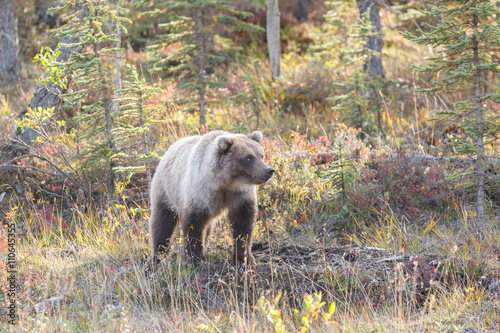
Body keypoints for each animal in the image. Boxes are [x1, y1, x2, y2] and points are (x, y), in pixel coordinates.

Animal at [149, 130, 274, 268]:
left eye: (261, 155)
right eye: (248, 157)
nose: (269, 170)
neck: (225, 182)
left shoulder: (240, 193)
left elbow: (243, 225)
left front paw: (244, 259)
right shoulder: (200, 192)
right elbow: (194, 225)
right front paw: (195, 259)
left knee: (207, 229)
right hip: (166, 190)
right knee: (162, 223)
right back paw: (158, 256)